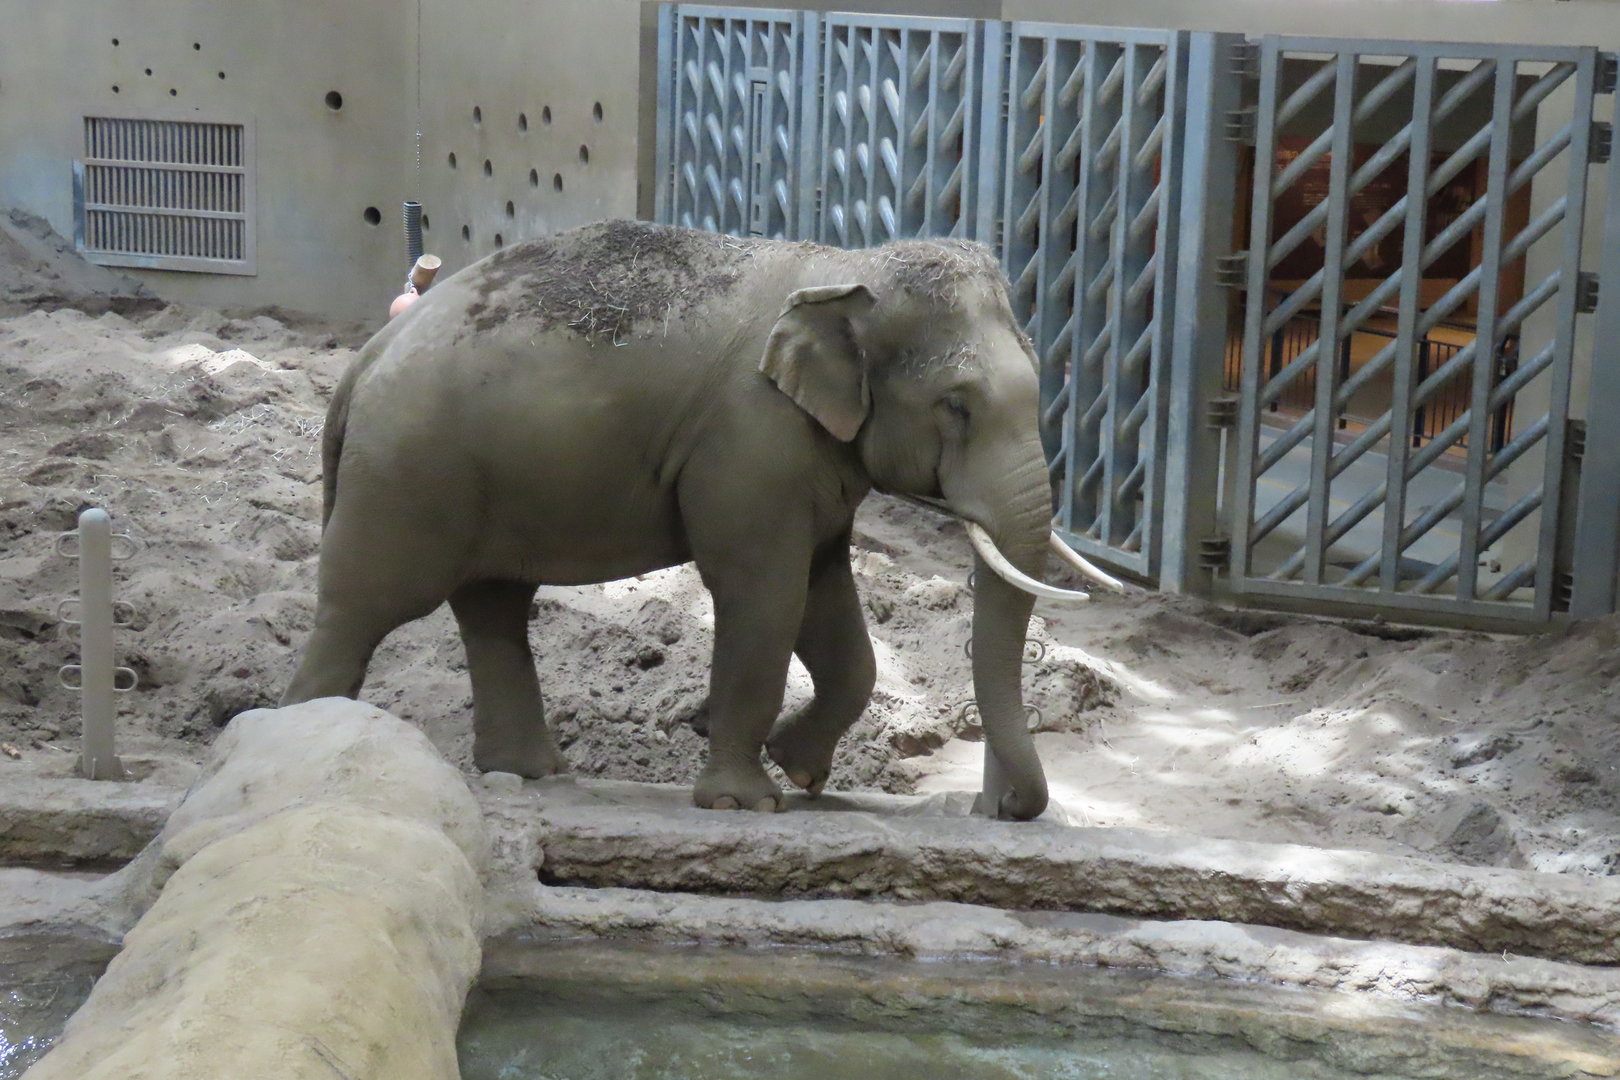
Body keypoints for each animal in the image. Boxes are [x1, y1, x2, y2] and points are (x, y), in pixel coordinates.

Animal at [280, 220, 1094, 820]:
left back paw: (531, 774)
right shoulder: (752, 440)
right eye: (957, 405)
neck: (850, 268)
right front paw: (746, 803)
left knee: (493, 608)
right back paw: (304, 740)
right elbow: (761, 594)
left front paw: (801, 770)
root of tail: (365, 359)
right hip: (407, 474)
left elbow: (828, 604)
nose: (998, 808)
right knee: (365, 604)